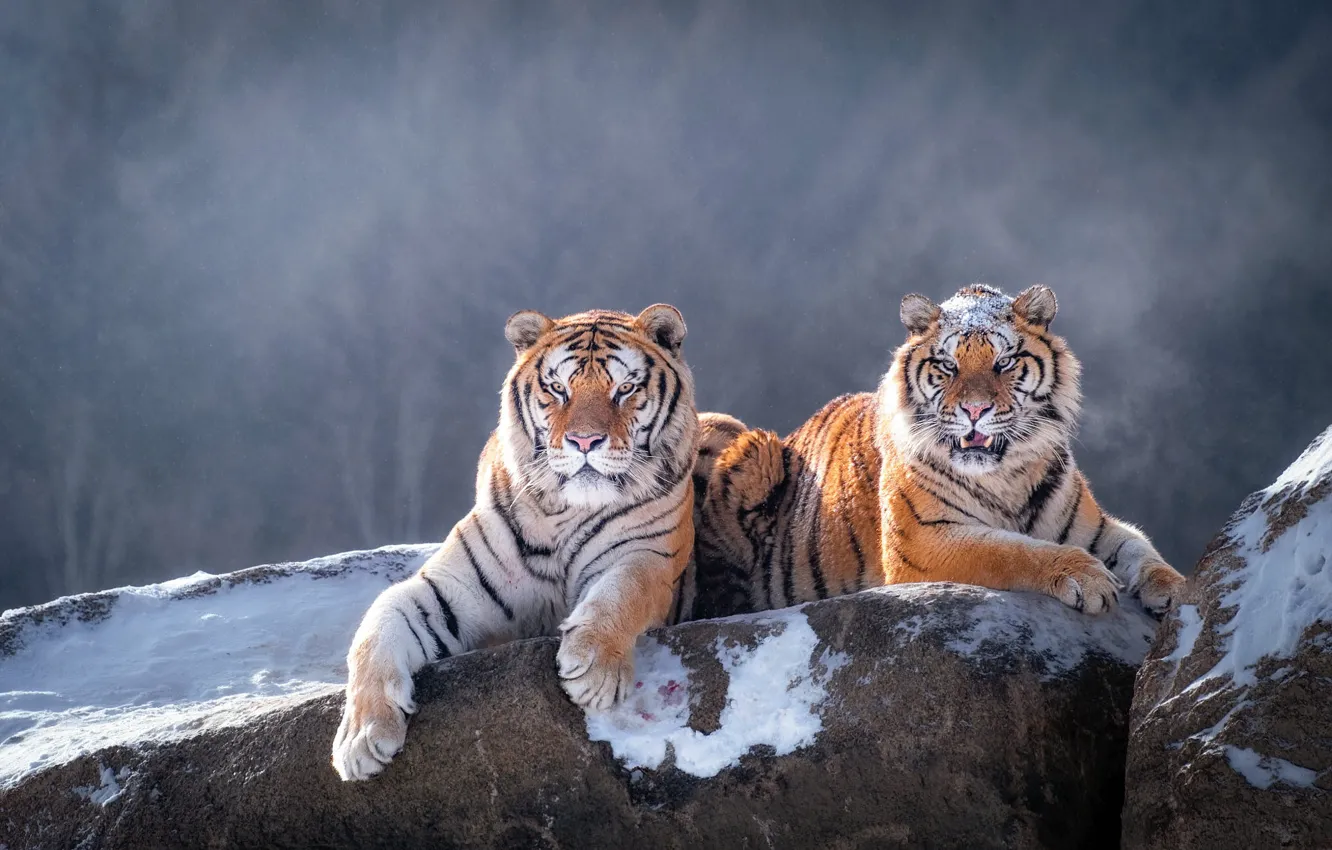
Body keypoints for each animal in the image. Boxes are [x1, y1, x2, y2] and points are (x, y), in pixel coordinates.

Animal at [331, 305, 699, 781]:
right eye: (558, 388)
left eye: (625, 388)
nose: (584, 441)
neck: (563, 512)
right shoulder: (445, 591)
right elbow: (374, 632)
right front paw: (360, 739)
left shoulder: (647, 557)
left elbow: (620, 593)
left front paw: (593, 671)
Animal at [692, 283, 1186, 620]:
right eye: (948, 365)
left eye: (1004, 362)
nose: (975, 410)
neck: (1006, 475)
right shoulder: (923, 539)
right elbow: (1013, 550)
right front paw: (1088, 578)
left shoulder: (1092, 527)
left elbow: (1140, 548)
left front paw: (1178, 591)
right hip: (749, 444)